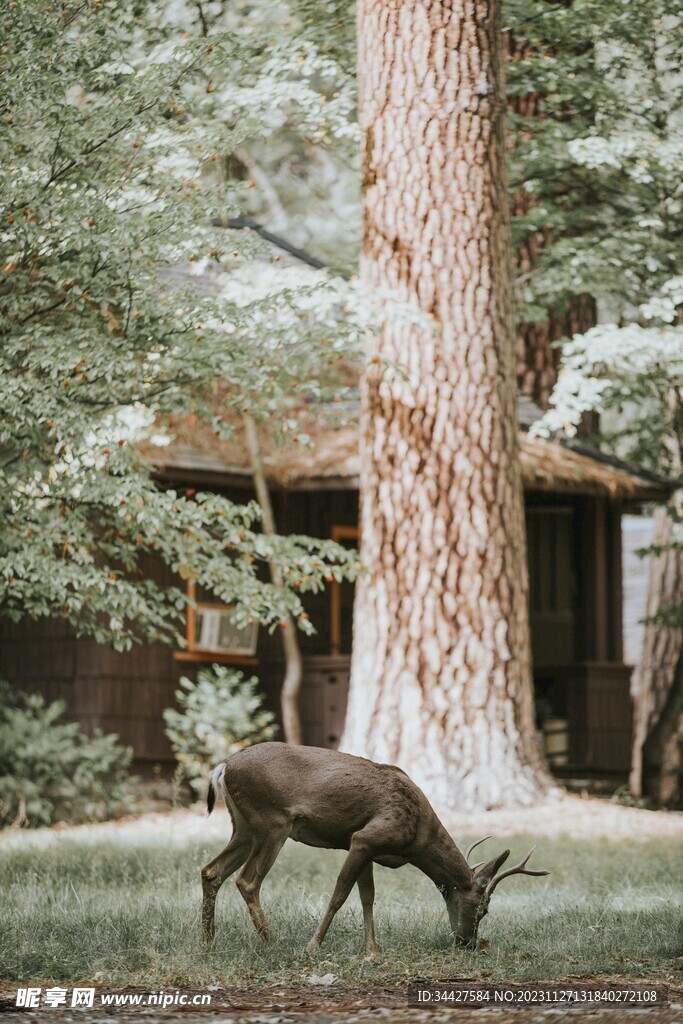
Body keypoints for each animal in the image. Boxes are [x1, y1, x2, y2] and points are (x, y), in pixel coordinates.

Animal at [201, 742, 549, 956]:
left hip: (244, 827)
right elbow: (340, 895)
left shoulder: (366, 848)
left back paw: (208, 942)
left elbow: (367, 898)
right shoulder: (365, 838)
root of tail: (223, 766)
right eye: (482, 908)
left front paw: (372, 952)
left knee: (211, 870)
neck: (417, 839)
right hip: (272, 822)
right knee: (247, 881)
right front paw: (313, 946)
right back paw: (272, 944)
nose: (468, 944)